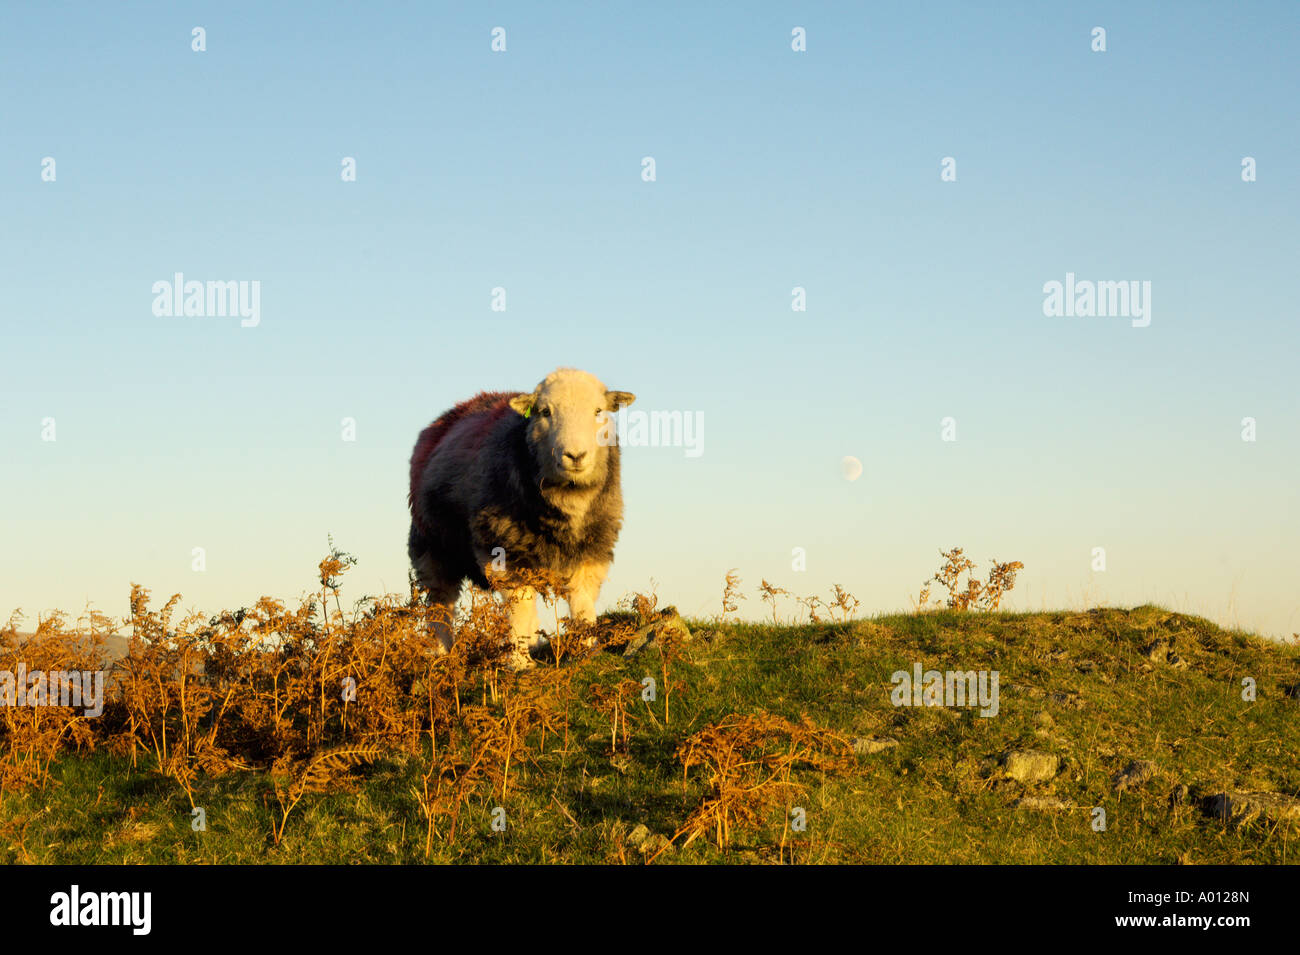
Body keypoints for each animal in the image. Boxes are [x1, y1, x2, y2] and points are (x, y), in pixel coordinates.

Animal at [403, 369, 631, 670]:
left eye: (598, 411)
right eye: (545, 412)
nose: (575, 455)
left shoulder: (593, 548)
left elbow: (581, 601)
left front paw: (586, 651)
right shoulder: (505, 548)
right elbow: (519, 605)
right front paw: (519, 662)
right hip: (431, 544)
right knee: (441, 601)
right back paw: (442, 653)